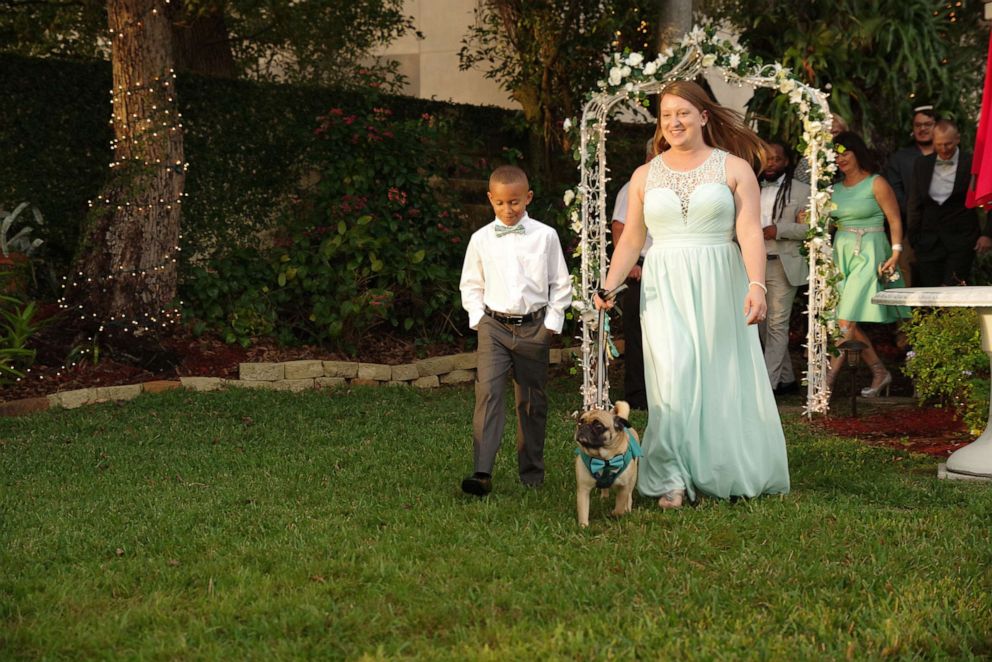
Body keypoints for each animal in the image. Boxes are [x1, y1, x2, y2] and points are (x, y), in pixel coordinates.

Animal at [572, 400, 644, 528]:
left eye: (598, 426)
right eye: (580, 423)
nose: (583, 427)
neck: (603, 459)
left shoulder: (623, 487)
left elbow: (620, 507)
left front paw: (615, 513)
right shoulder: (583, 489)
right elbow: (583, 509)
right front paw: (583, 526)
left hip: (632, 478)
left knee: (629, 494)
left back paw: (627, 508)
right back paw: (604, 497)